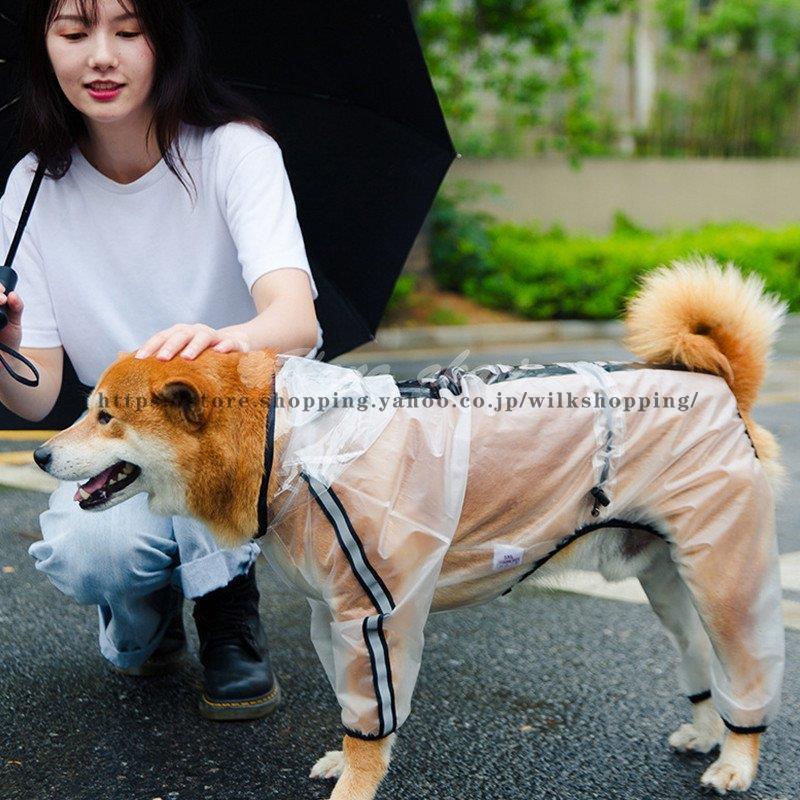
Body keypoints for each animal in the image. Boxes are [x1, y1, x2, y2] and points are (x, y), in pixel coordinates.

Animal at [34, 260, 784, 796]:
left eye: (106, 416)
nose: (39, 454)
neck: (291, 441)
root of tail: (724, 387)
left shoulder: (376, 613)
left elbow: (372, 727)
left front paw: (354, 786)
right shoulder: (333, 617)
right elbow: (356, 715)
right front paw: (344, 762)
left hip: (725, 578)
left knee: (744, 666)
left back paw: (737, 760)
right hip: (670, 585)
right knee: (703, 659)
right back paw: (707, 730)